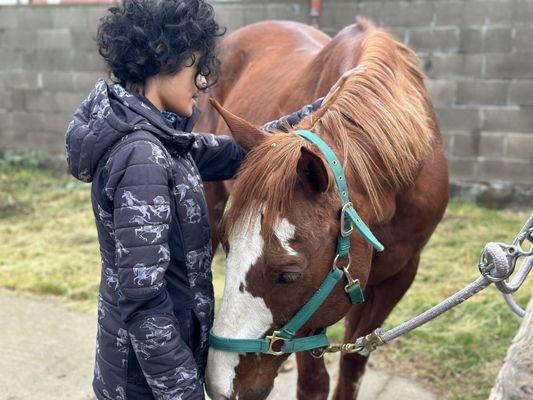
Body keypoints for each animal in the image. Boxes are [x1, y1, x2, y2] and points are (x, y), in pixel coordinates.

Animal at [197, 18, 446, 400]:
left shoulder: (397, 277)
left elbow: (353, 363)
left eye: (288, 275)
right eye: (229, 247)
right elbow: (314, 384)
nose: (219, 383)